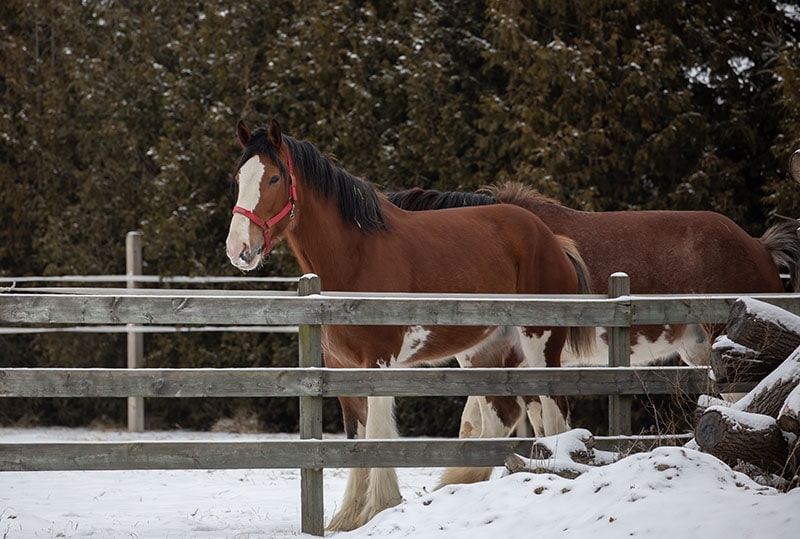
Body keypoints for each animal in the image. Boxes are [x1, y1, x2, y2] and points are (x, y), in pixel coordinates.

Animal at [225, 120, 594, 531]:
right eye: (238, 177)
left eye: (274, 178)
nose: (238, 248)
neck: (355, 256)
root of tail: (551, 239)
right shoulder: (342, 368)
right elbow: (356, 438)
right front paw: (349, 517)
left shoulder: (378, 362)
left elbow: (377, 435)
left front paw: (378, 507)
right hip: (484, 352)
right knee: (502, 415)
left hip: (541, 343)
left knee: (553, 411)